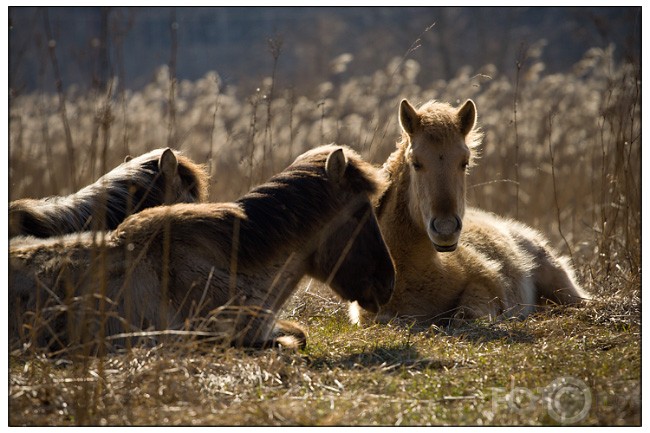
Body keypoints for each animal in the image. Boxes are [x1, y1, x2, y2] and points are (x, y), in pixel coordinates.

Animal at [350, 98, 588, 326]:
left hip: (562, 286)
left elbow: (466, 313)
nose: (446, 230)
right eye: (415, 162)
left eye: (464, 162)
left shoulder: (487, 284)